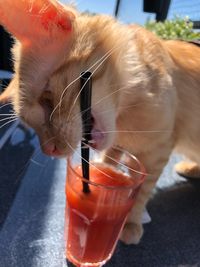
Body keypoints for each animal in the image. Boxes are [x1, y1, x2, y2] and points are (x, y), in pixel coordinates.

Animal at [0, 0, 200, 245]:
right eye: (30, 124)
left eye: (47, 100)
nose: (50, 151)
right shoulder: (119, 143)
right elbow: (110, 159)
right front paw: (104, 172)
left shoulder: (159, 149)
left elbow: (142, 189)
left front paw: (131, 222)